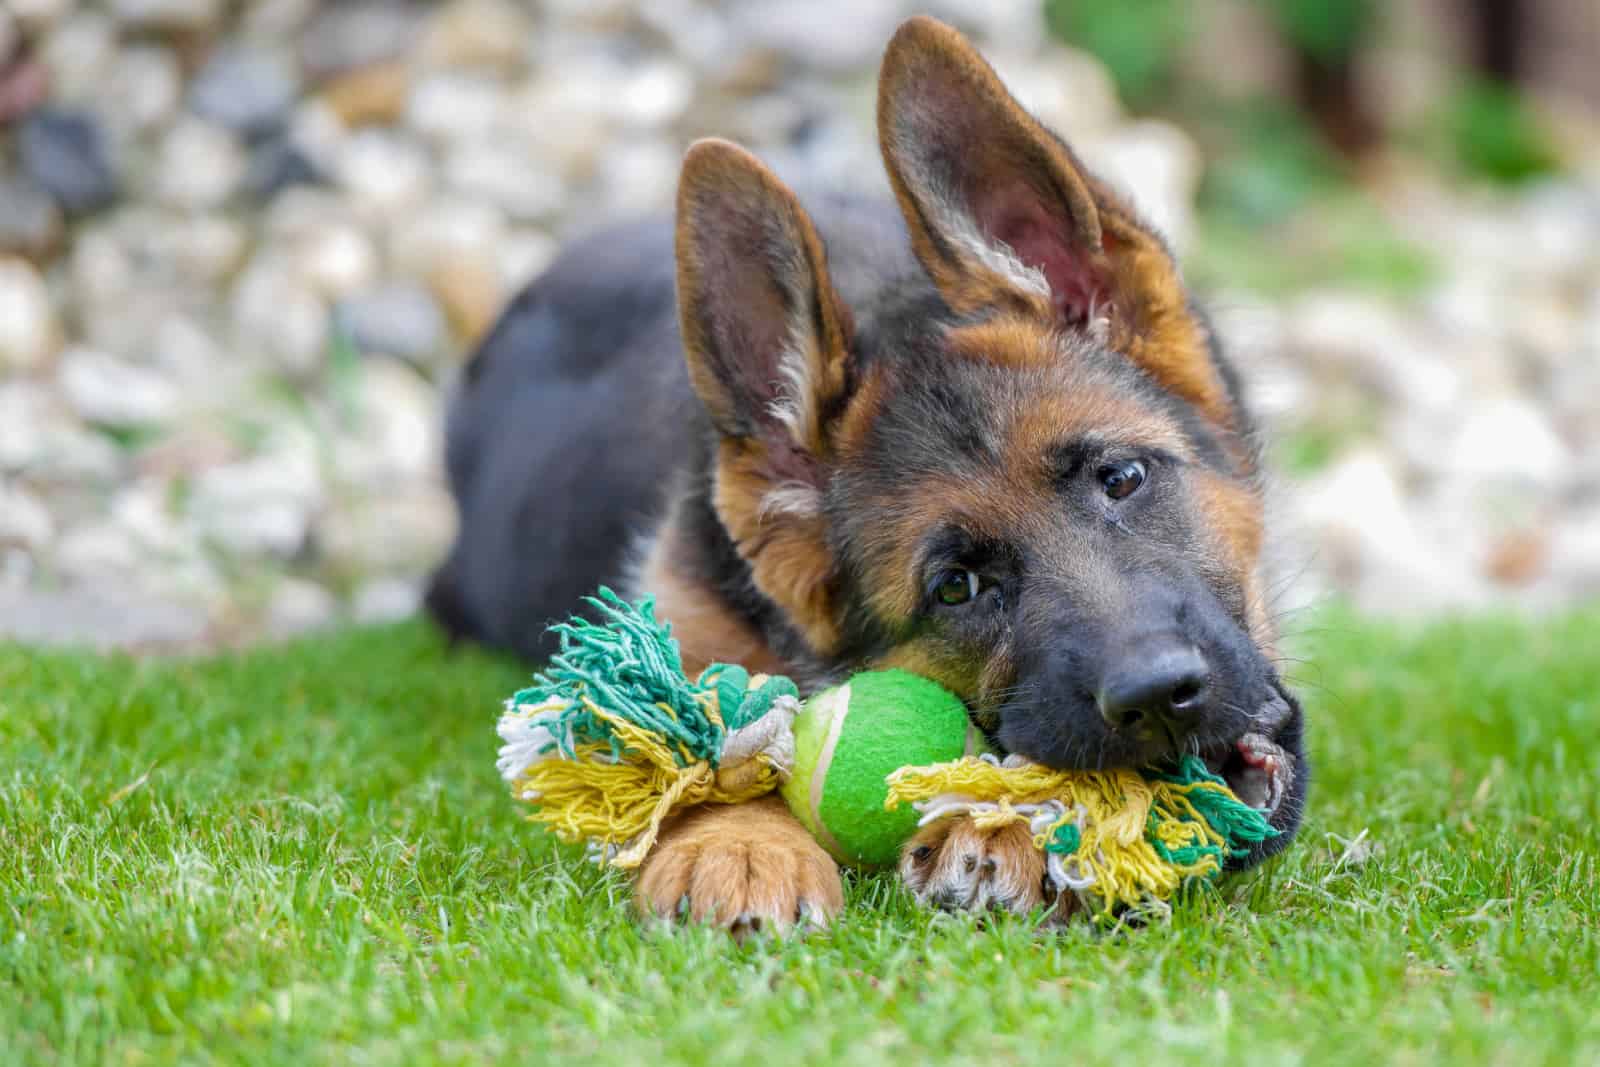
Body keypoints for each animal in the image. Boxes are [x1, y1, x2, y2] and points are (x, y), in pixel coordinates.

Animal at [432, 18, 1305, 934]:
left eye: (1123, 476)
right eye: (956, 588)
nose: (1157, 692)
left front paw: (1004, 827)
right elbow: (696, 734)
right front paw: (737, 840)